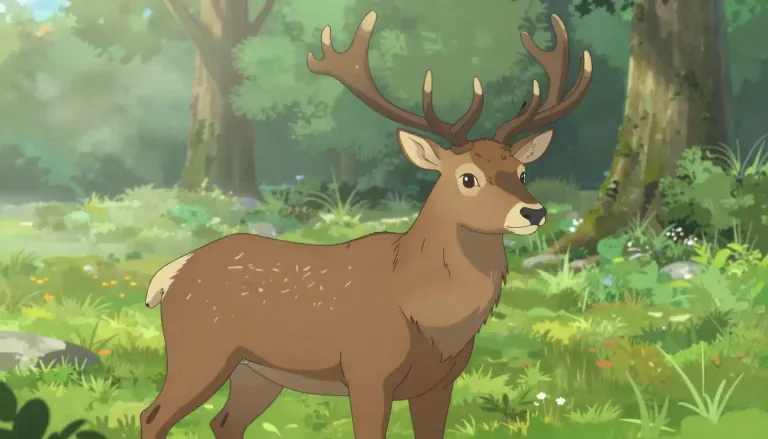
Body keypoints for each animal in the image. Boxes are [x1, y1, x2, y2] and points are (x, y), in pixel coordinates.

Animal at [140, 11, 592, 439]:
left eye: (522, 172)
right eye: (468, 178)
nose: (533, 212)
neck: (427, 316)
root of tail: (169, 275)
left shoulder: (440, 383)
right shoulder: (367, 372)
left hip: (257, 372)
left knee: (224, 422)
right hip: (199, 351)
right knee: (153, 415)